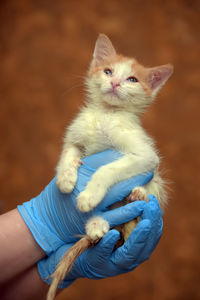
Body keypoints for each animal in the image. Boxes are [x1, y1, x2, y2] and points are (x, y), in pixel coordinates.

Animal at [47, 34, 173, 298]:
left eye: (132, 79)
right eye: (108, 71)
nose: (114, 82)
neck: (105, 113)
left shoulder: (146, 156)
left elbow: (108, 168)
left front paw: (89, 195)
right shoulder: (75, 136)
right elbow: (67, 153)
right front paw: (65, 179)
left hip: (154, 182)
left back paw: (138, 194)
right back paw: (97, 224)